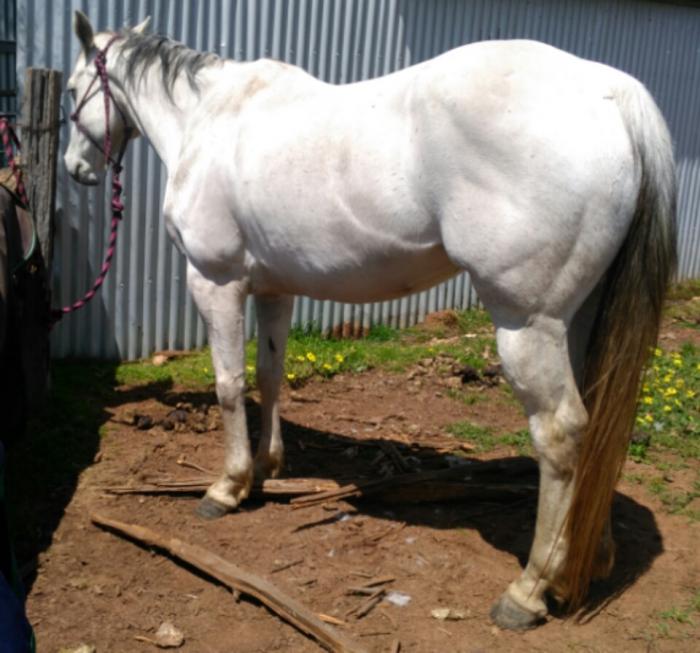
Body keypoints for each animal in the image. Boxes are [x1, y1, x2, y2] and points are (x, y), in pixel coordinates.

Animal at [64, 11, 676, 629]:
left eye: (70, 90)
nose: (75, 168)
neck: (208, 117)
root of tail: (613, 96)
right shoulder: (275, 290)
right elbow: (269, 377)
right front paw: (268, 466)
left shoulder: (216, 282)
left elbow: (229, 385)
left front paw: (228, 486)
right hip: (577, 320)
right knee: (597, 424)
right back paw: (589, 557)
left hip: (527, 324)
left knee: (561, 433)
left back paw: (527, 591)